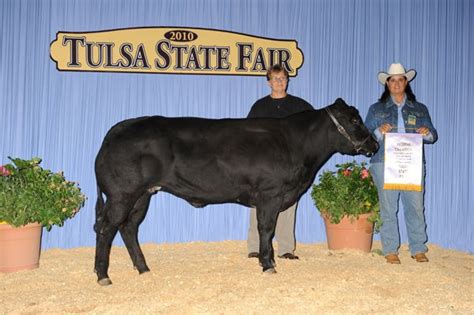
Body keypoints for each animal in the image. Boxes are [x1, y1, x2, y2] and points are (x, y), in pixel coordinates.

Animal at [94, 99, 380, 286]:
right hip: (123, 193)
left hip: (142, 195)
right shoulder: (270, 194)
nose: (375, 144)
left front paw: (269, 261)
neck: (298, 146)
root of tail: (121, 127)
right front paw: (268, 265)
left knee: (129, 227)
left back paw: (143, 269)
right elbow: (266, 229)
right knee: (106, 228)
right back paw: (103, 275)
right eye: (355, 120)